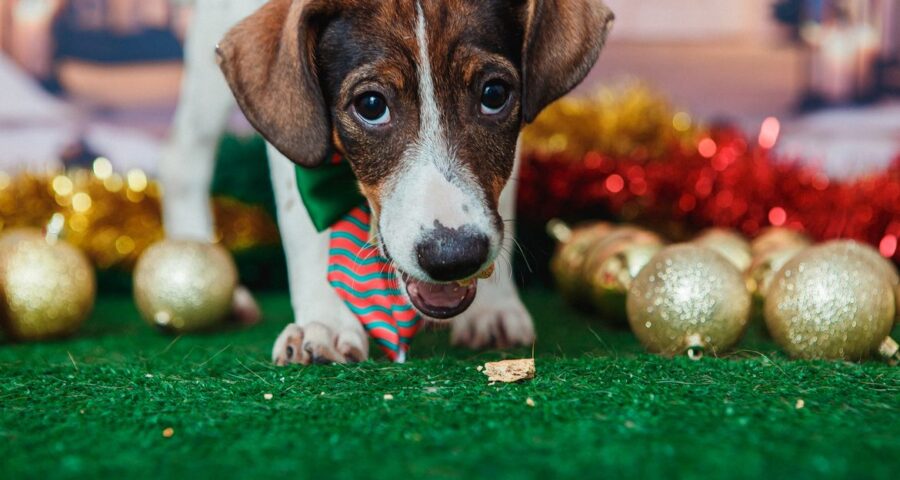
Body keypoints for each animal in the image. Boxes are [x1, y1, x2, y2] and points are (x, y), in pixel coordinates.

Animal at [162, 0, 612, 364]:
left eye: (495, 94)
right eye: (371, 105)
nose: (454, 257)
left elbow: (500, 203)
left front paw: (494, 307)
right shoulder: (294, 125)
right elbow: (304, 224)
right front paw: (324, 320)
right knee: (184, 166)